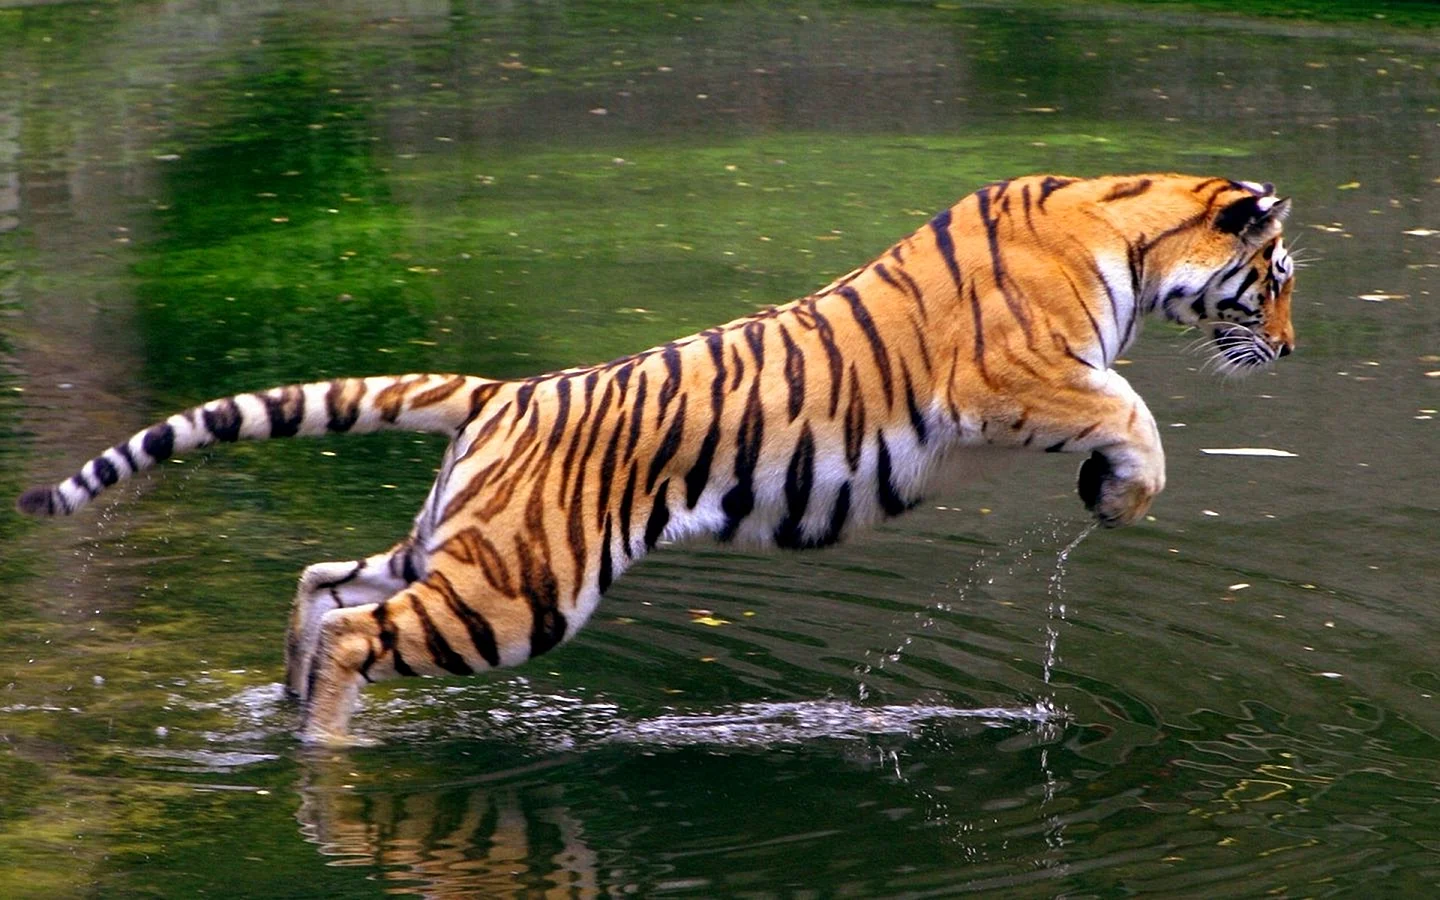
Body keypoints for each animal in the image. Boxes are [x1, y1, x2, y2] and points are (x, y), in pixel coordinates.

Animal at [16, 173, 1297, 743]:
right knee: (357, 630)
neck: (1126, 227)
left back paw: (285, 707)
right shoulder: (1020, 375)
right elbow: (1137, 413)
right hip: (518, 590)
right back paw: (326, 742)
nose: (1288, 349)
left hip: (461, 544)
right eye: (1277, 278)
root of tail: (506, 392)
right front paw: (1119, 496)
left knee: (324, 581)